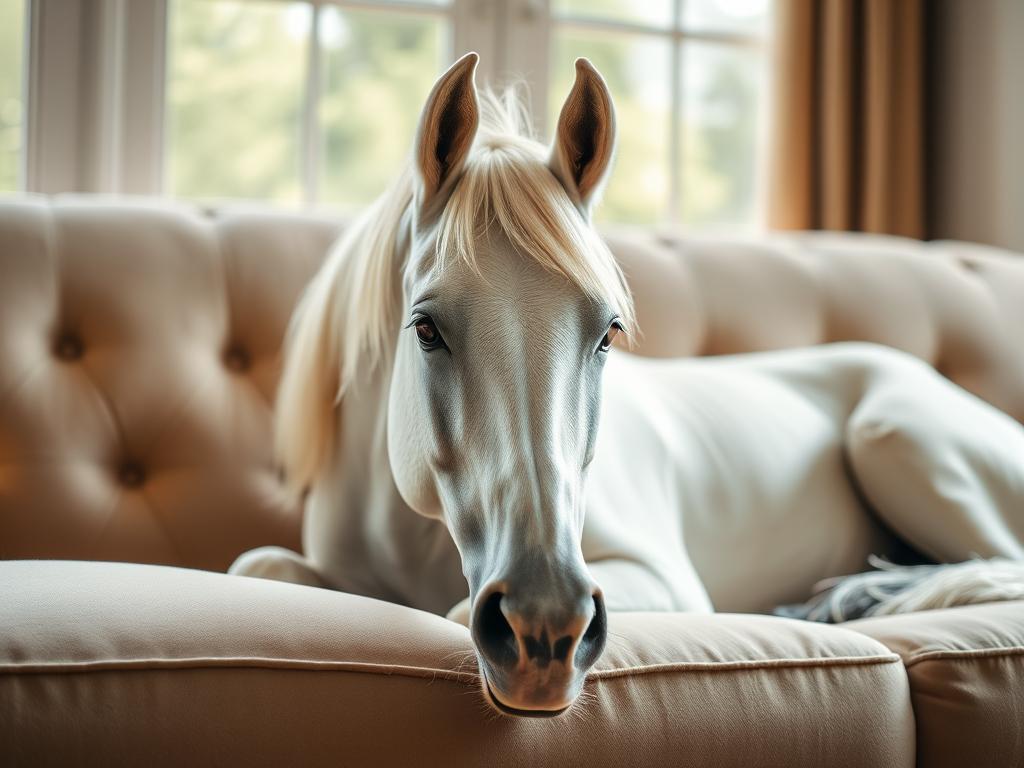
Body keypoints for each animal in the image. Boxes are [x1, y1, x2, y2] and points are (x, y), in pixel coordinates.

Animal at [230, 53, 1024, 716]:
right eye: (425, 327)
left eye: (607, 331)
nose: (547, 630)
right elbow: (257, 561)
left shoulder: (664, 579)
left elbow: (454, 613)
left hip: (893, 435)